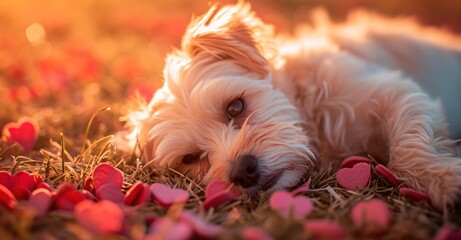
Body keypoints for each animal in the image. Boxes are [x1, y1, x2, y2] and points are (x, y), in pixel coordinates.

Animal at [122, 1, 460, 209]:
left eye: (235, 107)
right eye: (190, 158)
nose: (243, 172)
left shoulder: (396, 92)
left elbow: (408, 148)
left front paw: (442, 179)